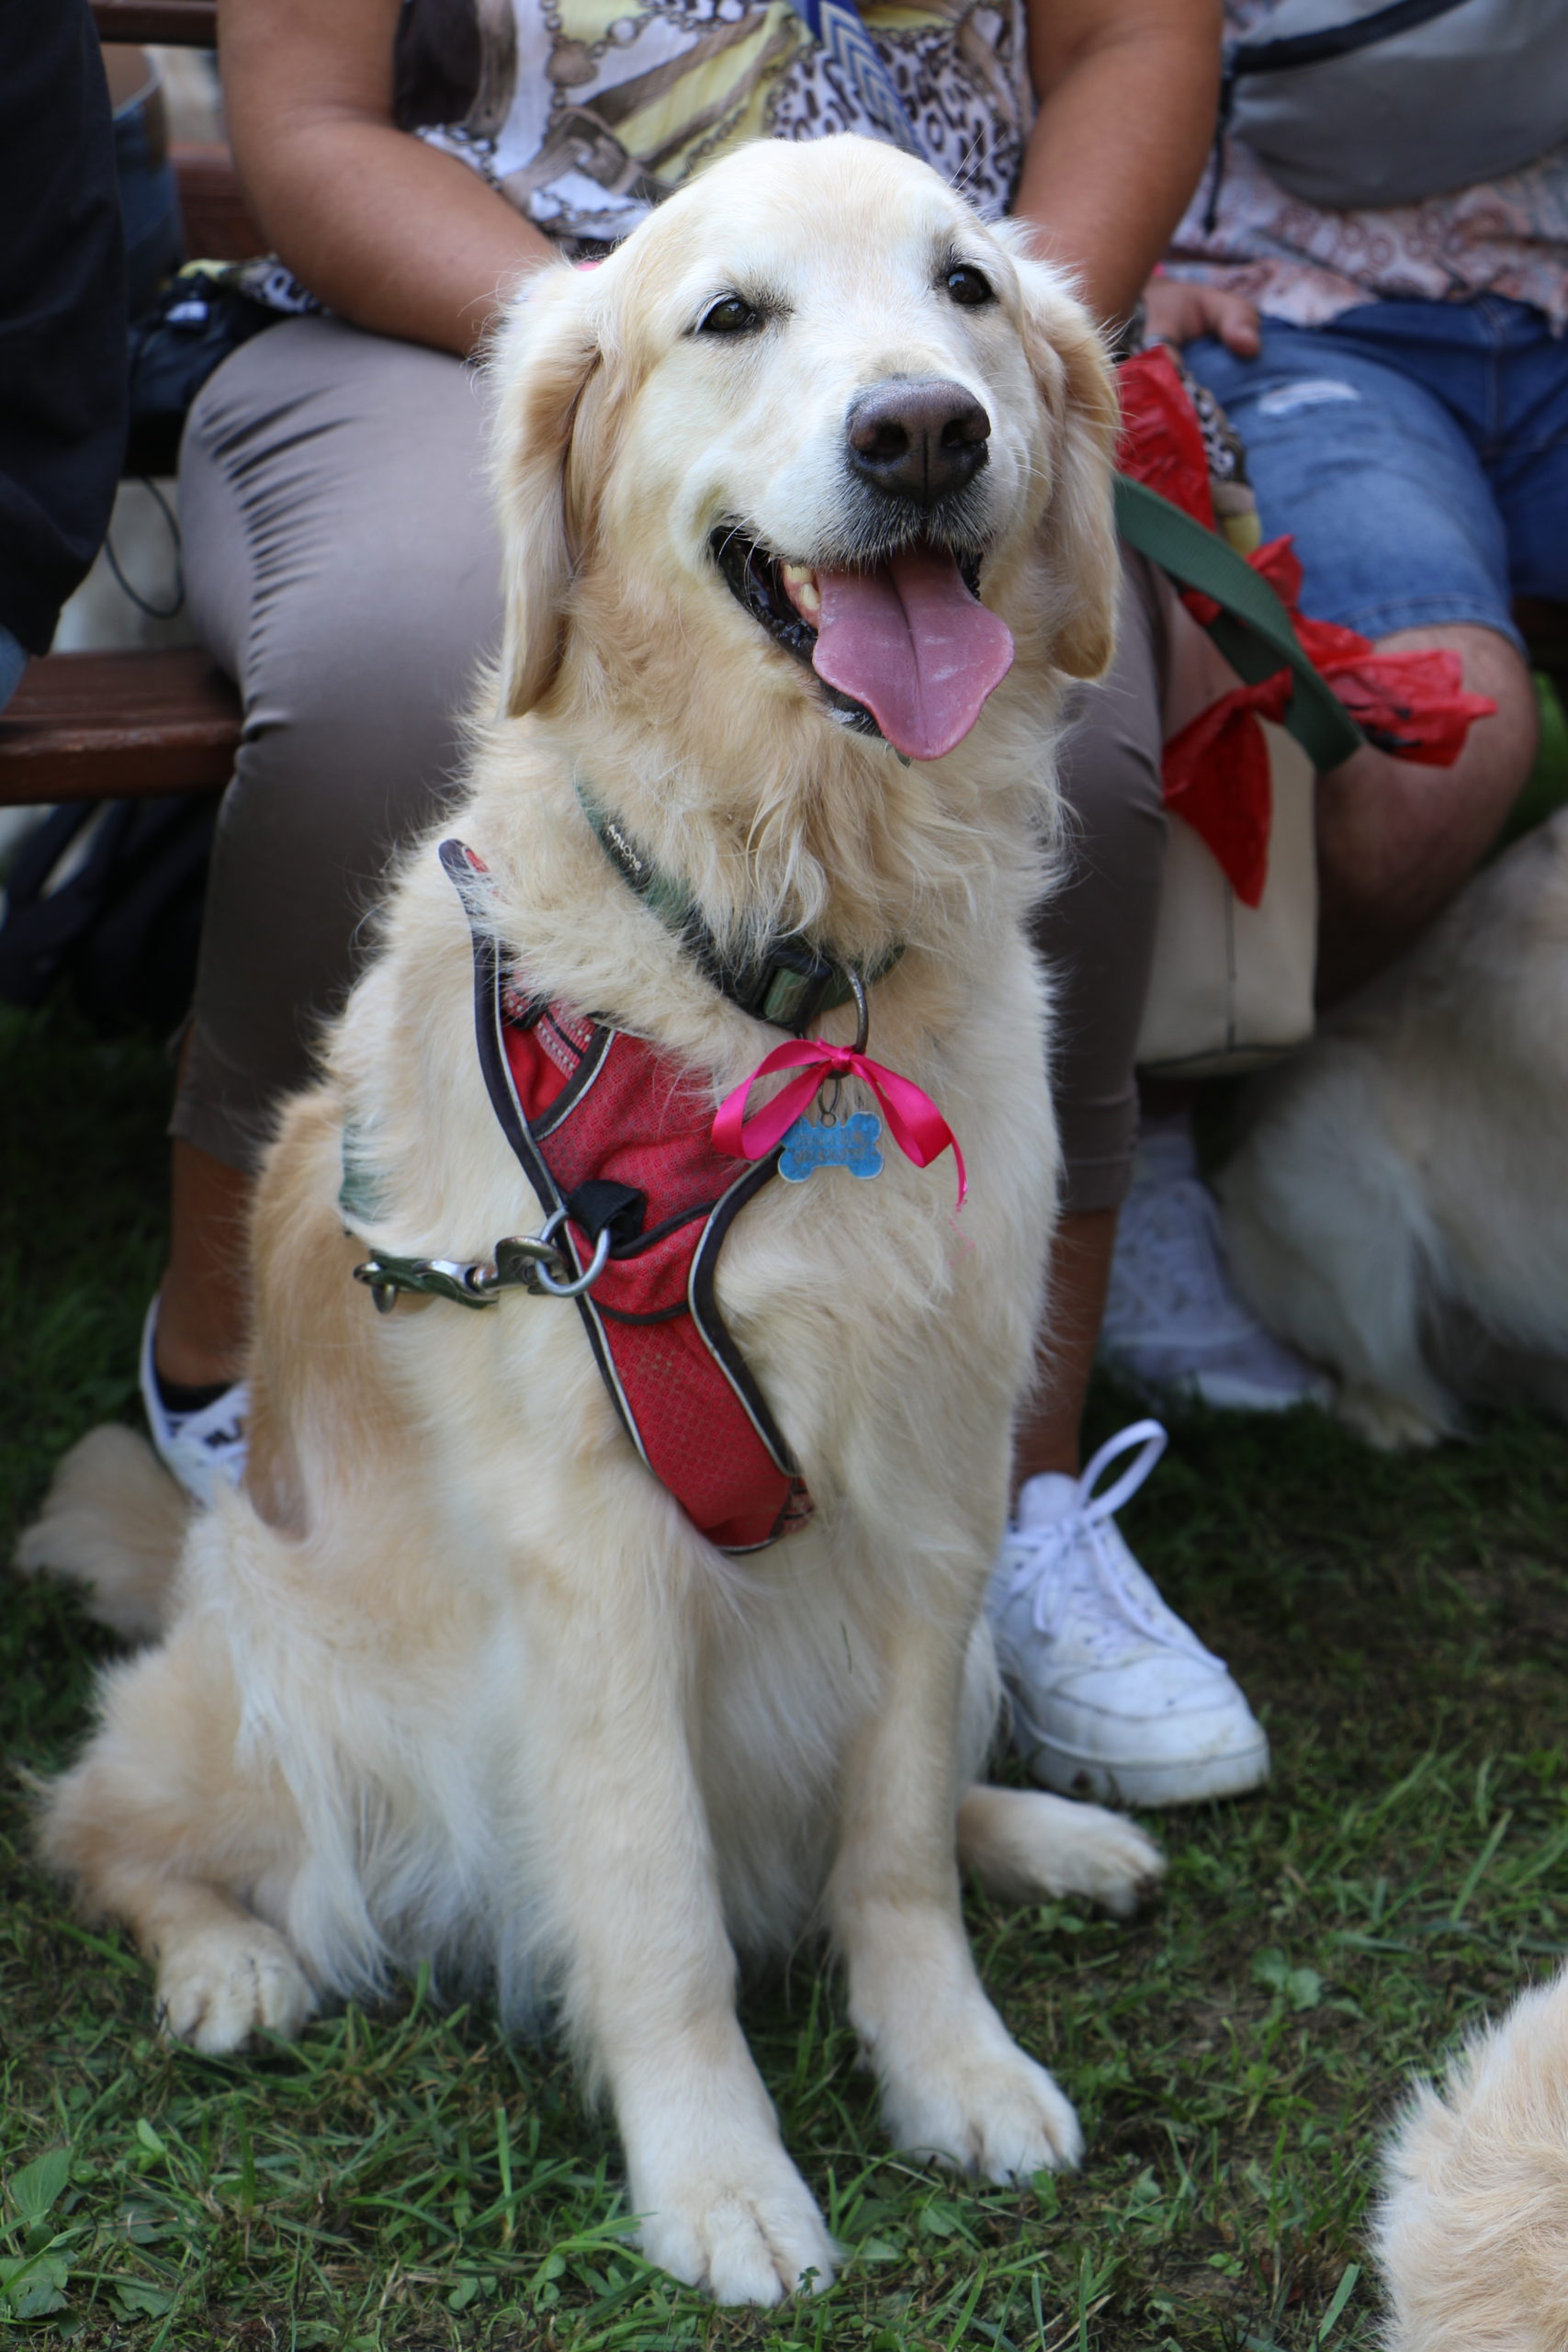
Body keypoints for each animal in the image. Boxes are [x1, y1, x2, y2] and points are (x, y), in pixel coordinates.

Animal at [19, 135, 1165, 2305]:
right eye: (728, 315)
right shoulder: (592, 1543)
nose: (922, 431)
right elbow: (656, 1901)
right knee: (102, 1817)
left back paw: (1053, 1836)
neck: (783, 967)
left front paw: (953, 2063)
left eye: (966, 290)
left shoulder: (935, 1482)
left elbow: (893, 1843)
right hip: (277, 1683)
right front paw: (717, 2177)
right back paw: (226, 1965)